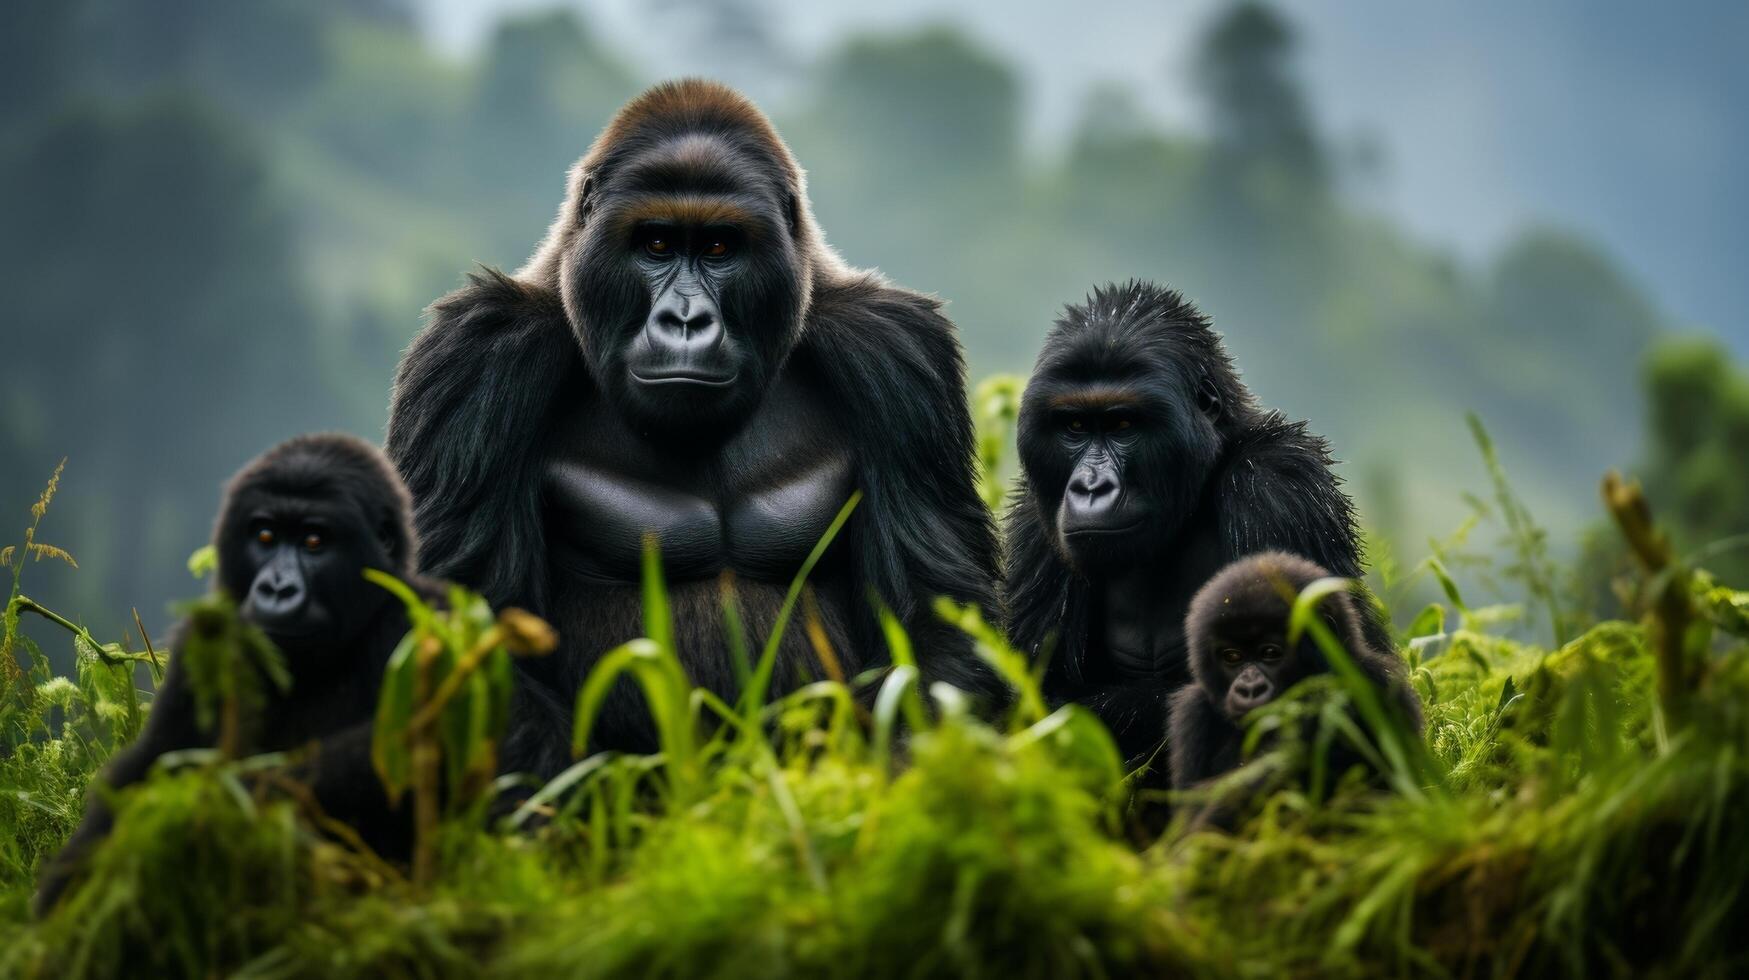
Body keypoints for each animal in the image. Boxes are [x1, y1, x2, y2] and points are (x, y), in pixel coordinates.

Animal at [390, 80, 1007, 777]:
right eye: (656, 244)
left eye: (718, 248)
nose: (686, 321)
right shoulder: (475, 355)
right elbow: (465, 638)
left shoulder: (899, 353)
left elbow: (936, 630)